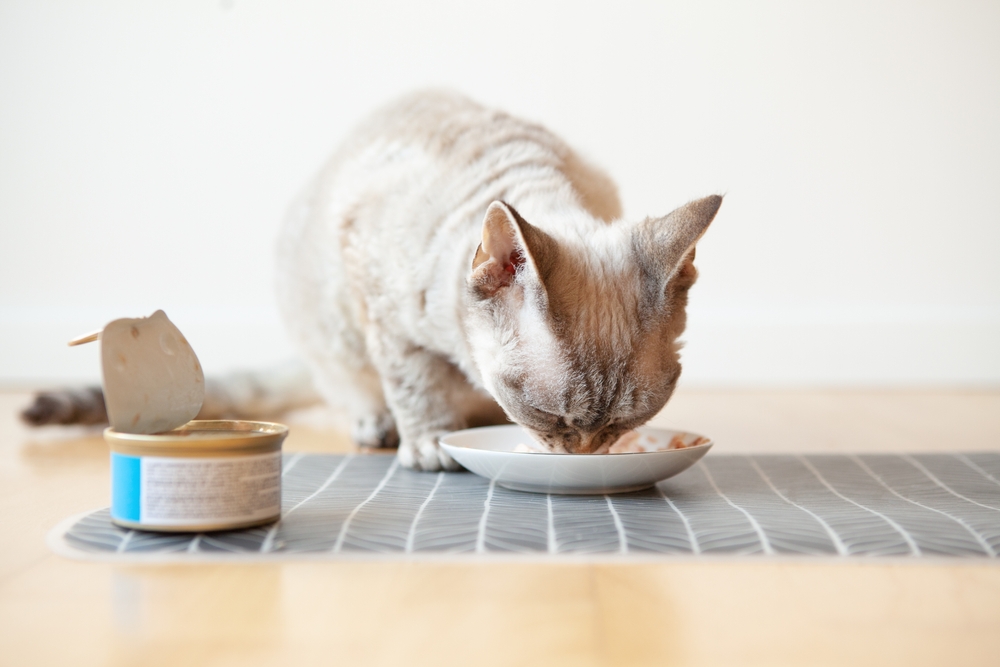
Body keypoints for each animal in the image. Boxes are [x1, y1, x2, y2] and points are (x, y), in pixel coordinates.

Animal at [21, 91, 720, 472]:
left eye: (629, 420)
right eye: (550, 416)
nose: (581, 456)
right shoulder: (384, 318)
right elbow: (415, 388)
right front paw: (430, 445)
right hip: (332, 338)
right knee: (352, 395)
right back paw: (380, 428)